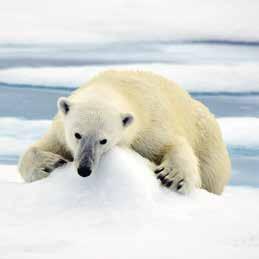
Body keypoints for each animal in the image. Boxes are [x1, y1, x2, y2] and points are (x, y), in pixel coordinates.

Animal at [19, 71, 233, 195]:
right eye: (77, 134)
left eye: (103, 140)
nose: (84, 169)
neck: (115, 87)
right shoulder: (60, 131)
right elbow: (41, 147)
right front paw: (49, 163)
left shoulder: (149, 126)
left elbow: (172, 143)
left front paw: (173, 177)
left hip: (210, 144)